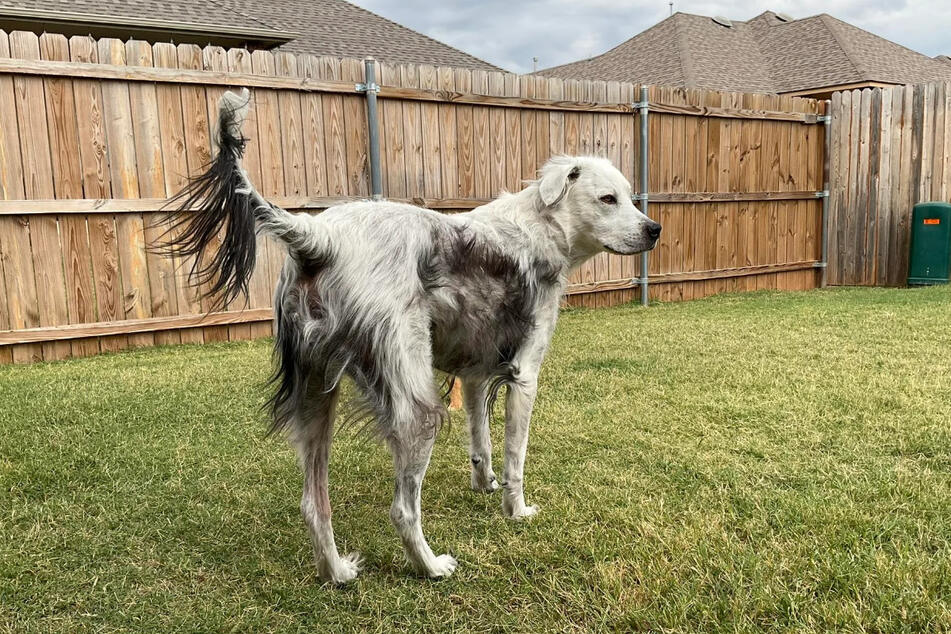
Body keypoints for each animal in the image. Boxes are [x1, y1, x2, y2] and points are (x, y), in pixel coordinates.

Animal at [160, 89, 660, 584]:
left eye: (630, 197)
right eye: (608, 199)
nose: (654, 230)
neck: (539, 226)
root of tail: (320, 236)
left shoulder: (474, 377)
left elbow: (481, 444)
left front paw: (484, 485)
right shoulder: (525, 376)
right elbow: (515, 458)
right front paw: (515, 510)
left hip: (316, 400)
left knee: (313, 505)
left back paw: (337, 572)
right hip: (418, 410)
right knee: (402, 509)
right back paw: (430, 566)